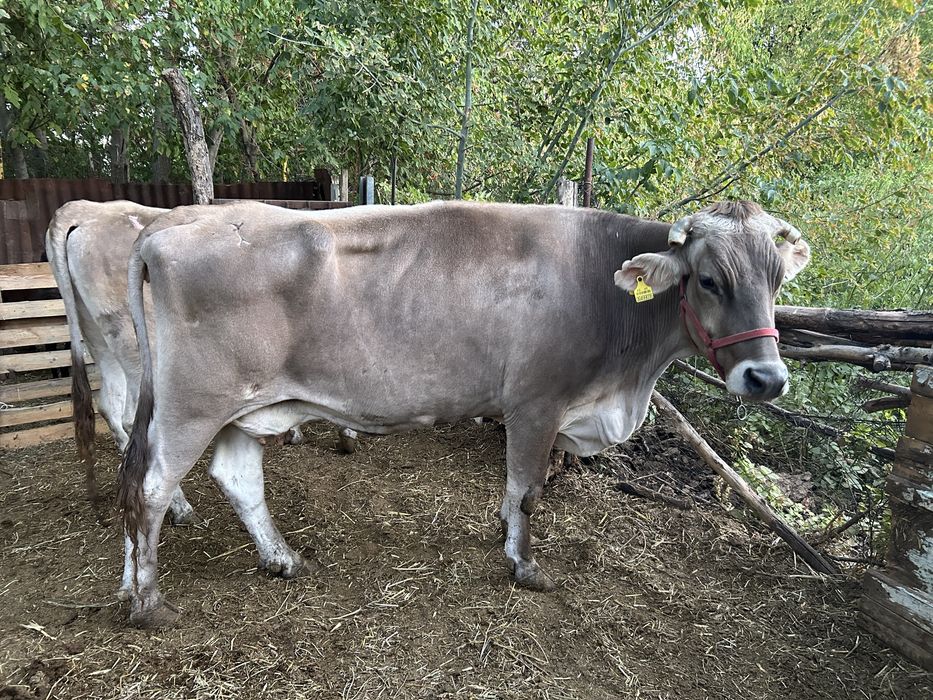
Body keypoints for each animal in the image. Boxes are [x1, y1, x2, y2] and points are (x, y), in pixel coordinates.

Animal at [44, 201, 349, 522]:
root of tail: (86, 210)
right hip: (137, 347)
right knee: (135, 422)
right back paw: (179, 507)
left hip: (98, 336)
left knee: (109, 404)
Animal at [117, 199, 810, 627]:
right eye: (709, 280)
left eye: (777, 280)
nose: (767, 378)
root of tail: (171, 224)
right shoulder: (536, 402)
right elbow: (528, 489)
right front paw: (525, 566)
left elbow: (512, 491)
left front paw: (503, 535)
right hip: (193, 405)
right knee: (150, 489)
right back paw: (149, 602)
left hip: (246, 408)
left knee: (230, 478)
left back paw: (274, 560)